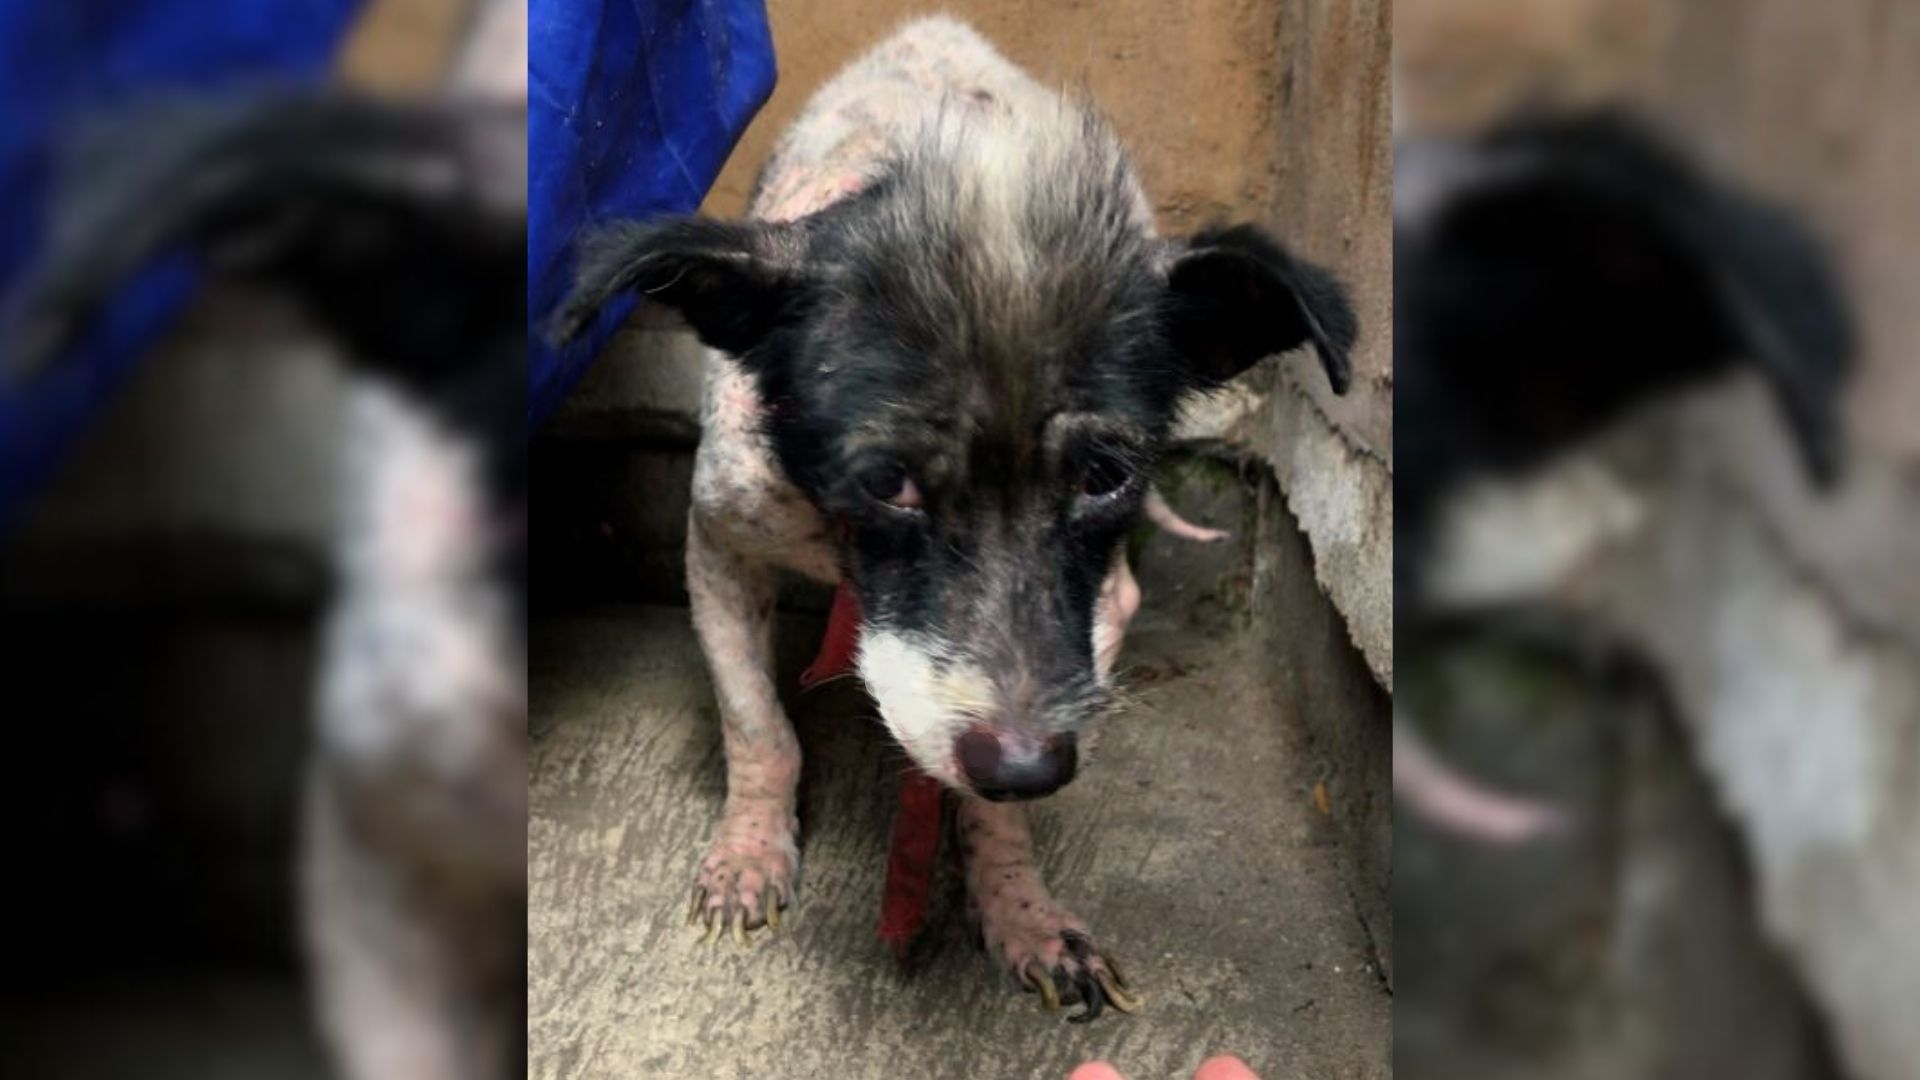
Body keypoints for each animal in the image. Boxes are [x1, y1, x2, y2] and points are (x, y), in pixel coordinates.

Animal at [549, 12, 1359, 1014]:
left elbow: (987, 804)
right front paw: (750, 855)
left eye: (1104, 476)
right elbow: (758, 725)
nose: (1030, 767)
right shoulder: (719, 545)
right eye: (889, 480)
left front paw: (1020, 910)